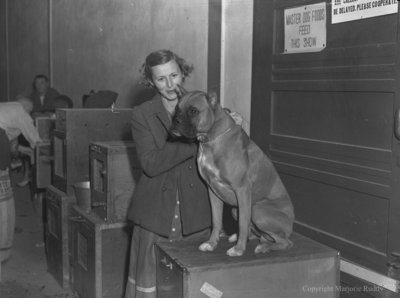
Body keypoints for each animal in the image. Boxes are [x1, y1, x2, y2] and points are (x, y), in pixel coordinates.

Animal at [169, 88, 294, 256]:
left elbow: (242, 223)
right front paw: (211, 243)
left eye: (193, 111)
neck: (212, 139)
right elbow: (216, 221)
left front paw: (239, 250)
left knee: (285, 242)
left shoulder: (242, 191)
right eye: (176, 109)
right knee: (258, 233)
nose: (175, 120)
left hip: (257, 209)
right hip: (236, 210)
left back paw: (263, 247)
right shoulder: (212, 191)